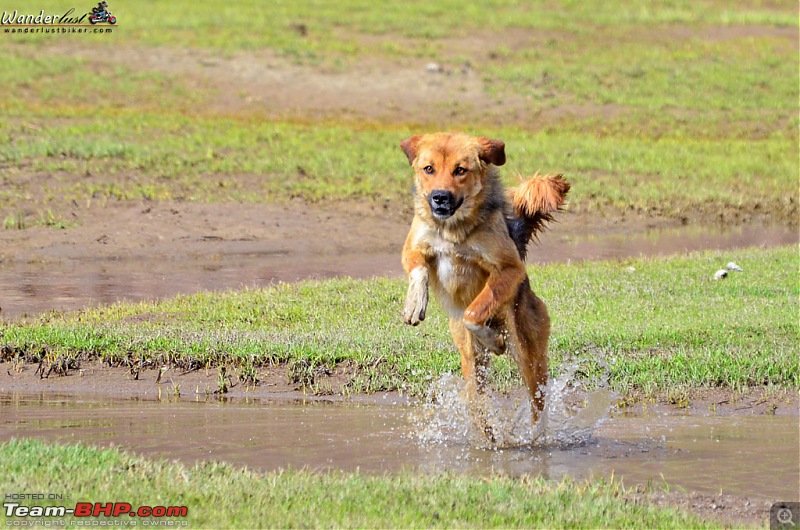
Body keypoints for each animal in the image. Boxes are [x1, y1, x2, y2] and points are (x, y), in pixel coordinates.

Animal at [400, 131, 568, 428]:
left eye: (460, 170)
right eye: (429, 169)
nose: (439, 197)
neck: (453, 230)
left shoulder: (509, 269)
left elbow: (474, 311)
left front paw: (491, 337)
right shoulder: (412, 248)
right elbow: (419, 269)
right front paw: (415, 303)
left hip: (529, 355)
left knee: (537, 403)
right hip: (471, 366)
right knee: (479, 408)